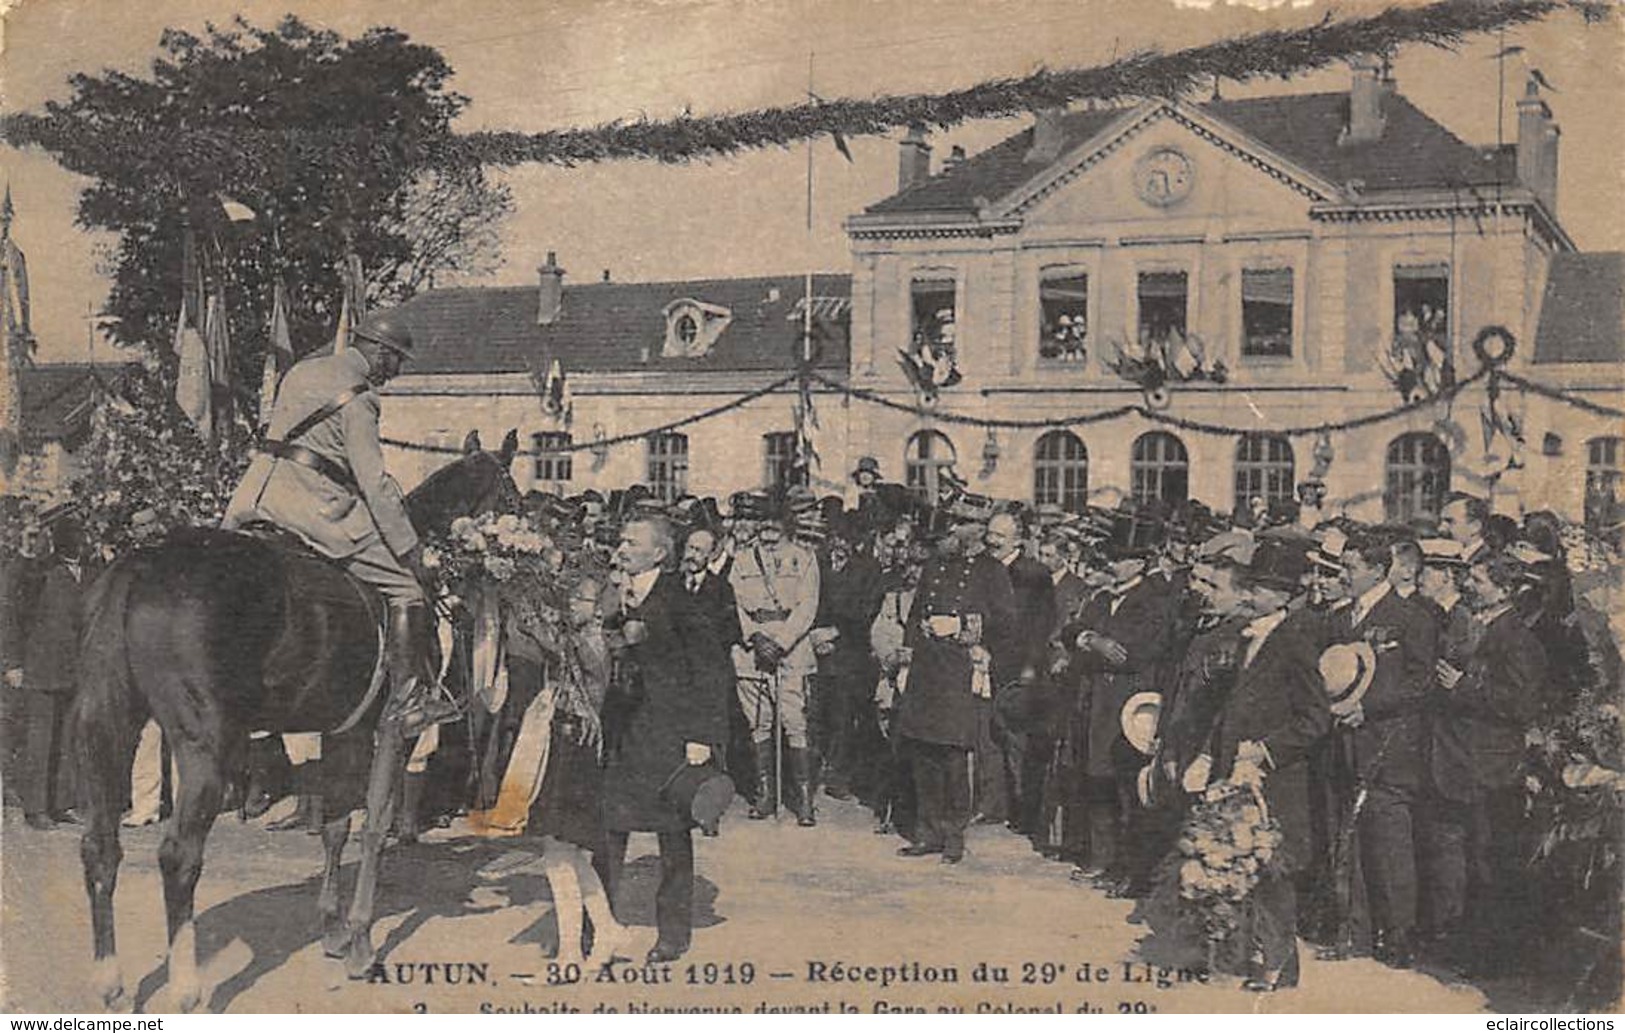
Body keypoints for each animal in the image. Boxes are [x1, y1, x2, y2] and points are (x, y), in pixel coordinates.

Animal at [74, 432, 520, 1013]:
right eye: (515, 497)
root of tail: (141, 565)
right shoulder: (391, 732)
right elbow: (373, 827)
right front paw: (360, 941)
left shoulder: (344, 732)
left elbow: (335, 827)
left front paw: (332, 928)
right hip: (205, 748)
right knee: (178, 857)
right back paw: (187, 988)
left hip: (107, 730)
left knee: (100, 847)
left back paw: (110, 983)